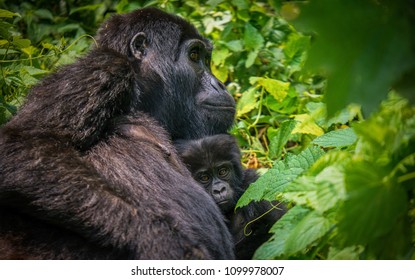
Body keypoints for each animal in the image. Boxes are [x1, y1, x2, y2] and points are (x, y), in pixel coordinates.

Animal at [0, 7, 236, 260]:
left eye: (206, 59)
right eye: (193, 55)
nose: (220, 85)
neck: (143, 91)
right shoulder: (102, 69)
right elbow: (22, 147)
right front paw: (160, 239)